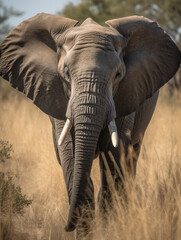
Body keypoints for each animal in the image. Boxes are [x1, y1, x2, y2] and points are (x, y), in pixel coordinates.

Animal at [0, 12, 180, 238]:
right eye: (66, 74)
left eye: (118, 75)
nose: (66, 226)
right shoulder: (59, 97)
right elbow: (70, 154)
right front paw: (85, 233)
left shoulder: (125, 97)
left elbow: (114, 156)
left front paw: (109, 230)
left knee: (130, 160)